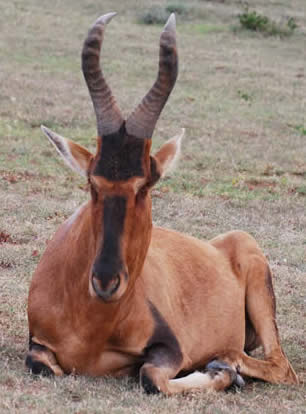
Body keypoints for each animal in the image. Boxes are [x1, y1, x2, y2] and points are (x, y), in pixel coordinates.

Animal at [26, 13, 298, 394]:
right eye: (92, 183)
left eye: (145, 185)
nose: (106, 281)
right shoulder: (37, 344)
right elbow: (43, 366)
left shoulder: (169, 347)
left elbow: (151, 377)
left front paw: (222, 372)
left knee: (282, 367)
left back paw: (228, 365)